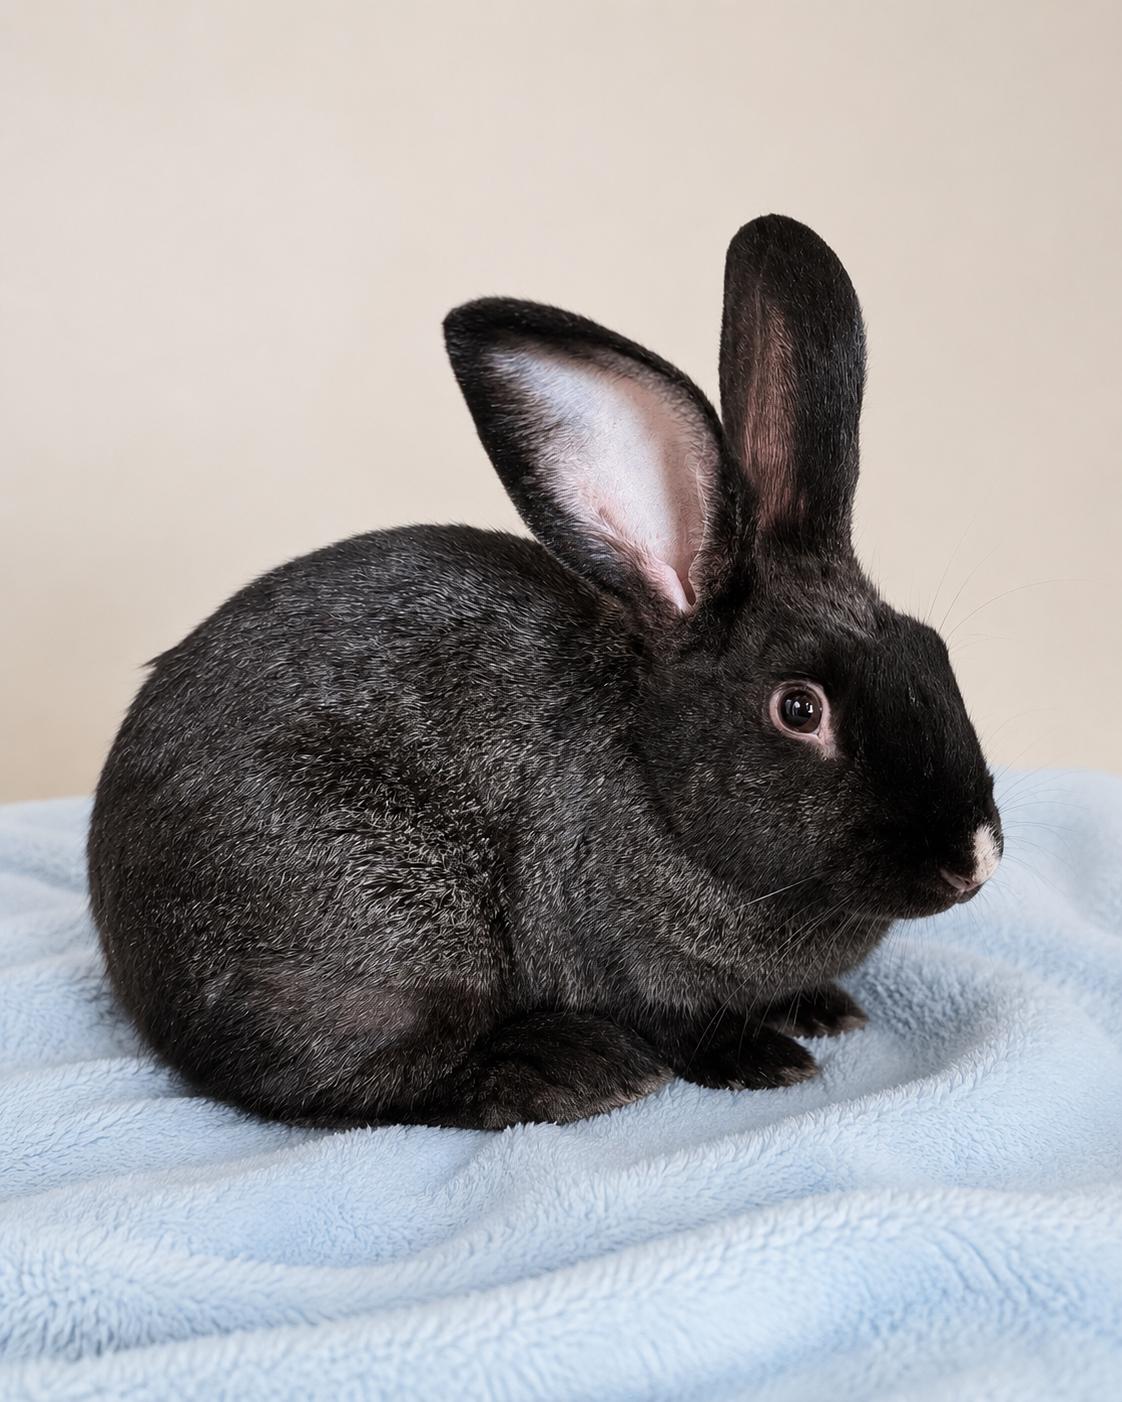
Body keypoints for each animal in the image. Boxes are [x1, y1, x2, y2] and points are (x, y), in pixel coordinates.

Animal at [88, 215, 1003, 1130]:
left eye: (933, 650)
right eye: (800, 709)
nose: (976, 859)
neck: (657, 785)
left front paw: (825, 1009)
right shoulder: (622, 963)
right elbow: (678, 1024)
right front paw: (767, 1057)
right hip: (392, 934)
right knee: (366, 1082)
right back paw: (573, 1069)